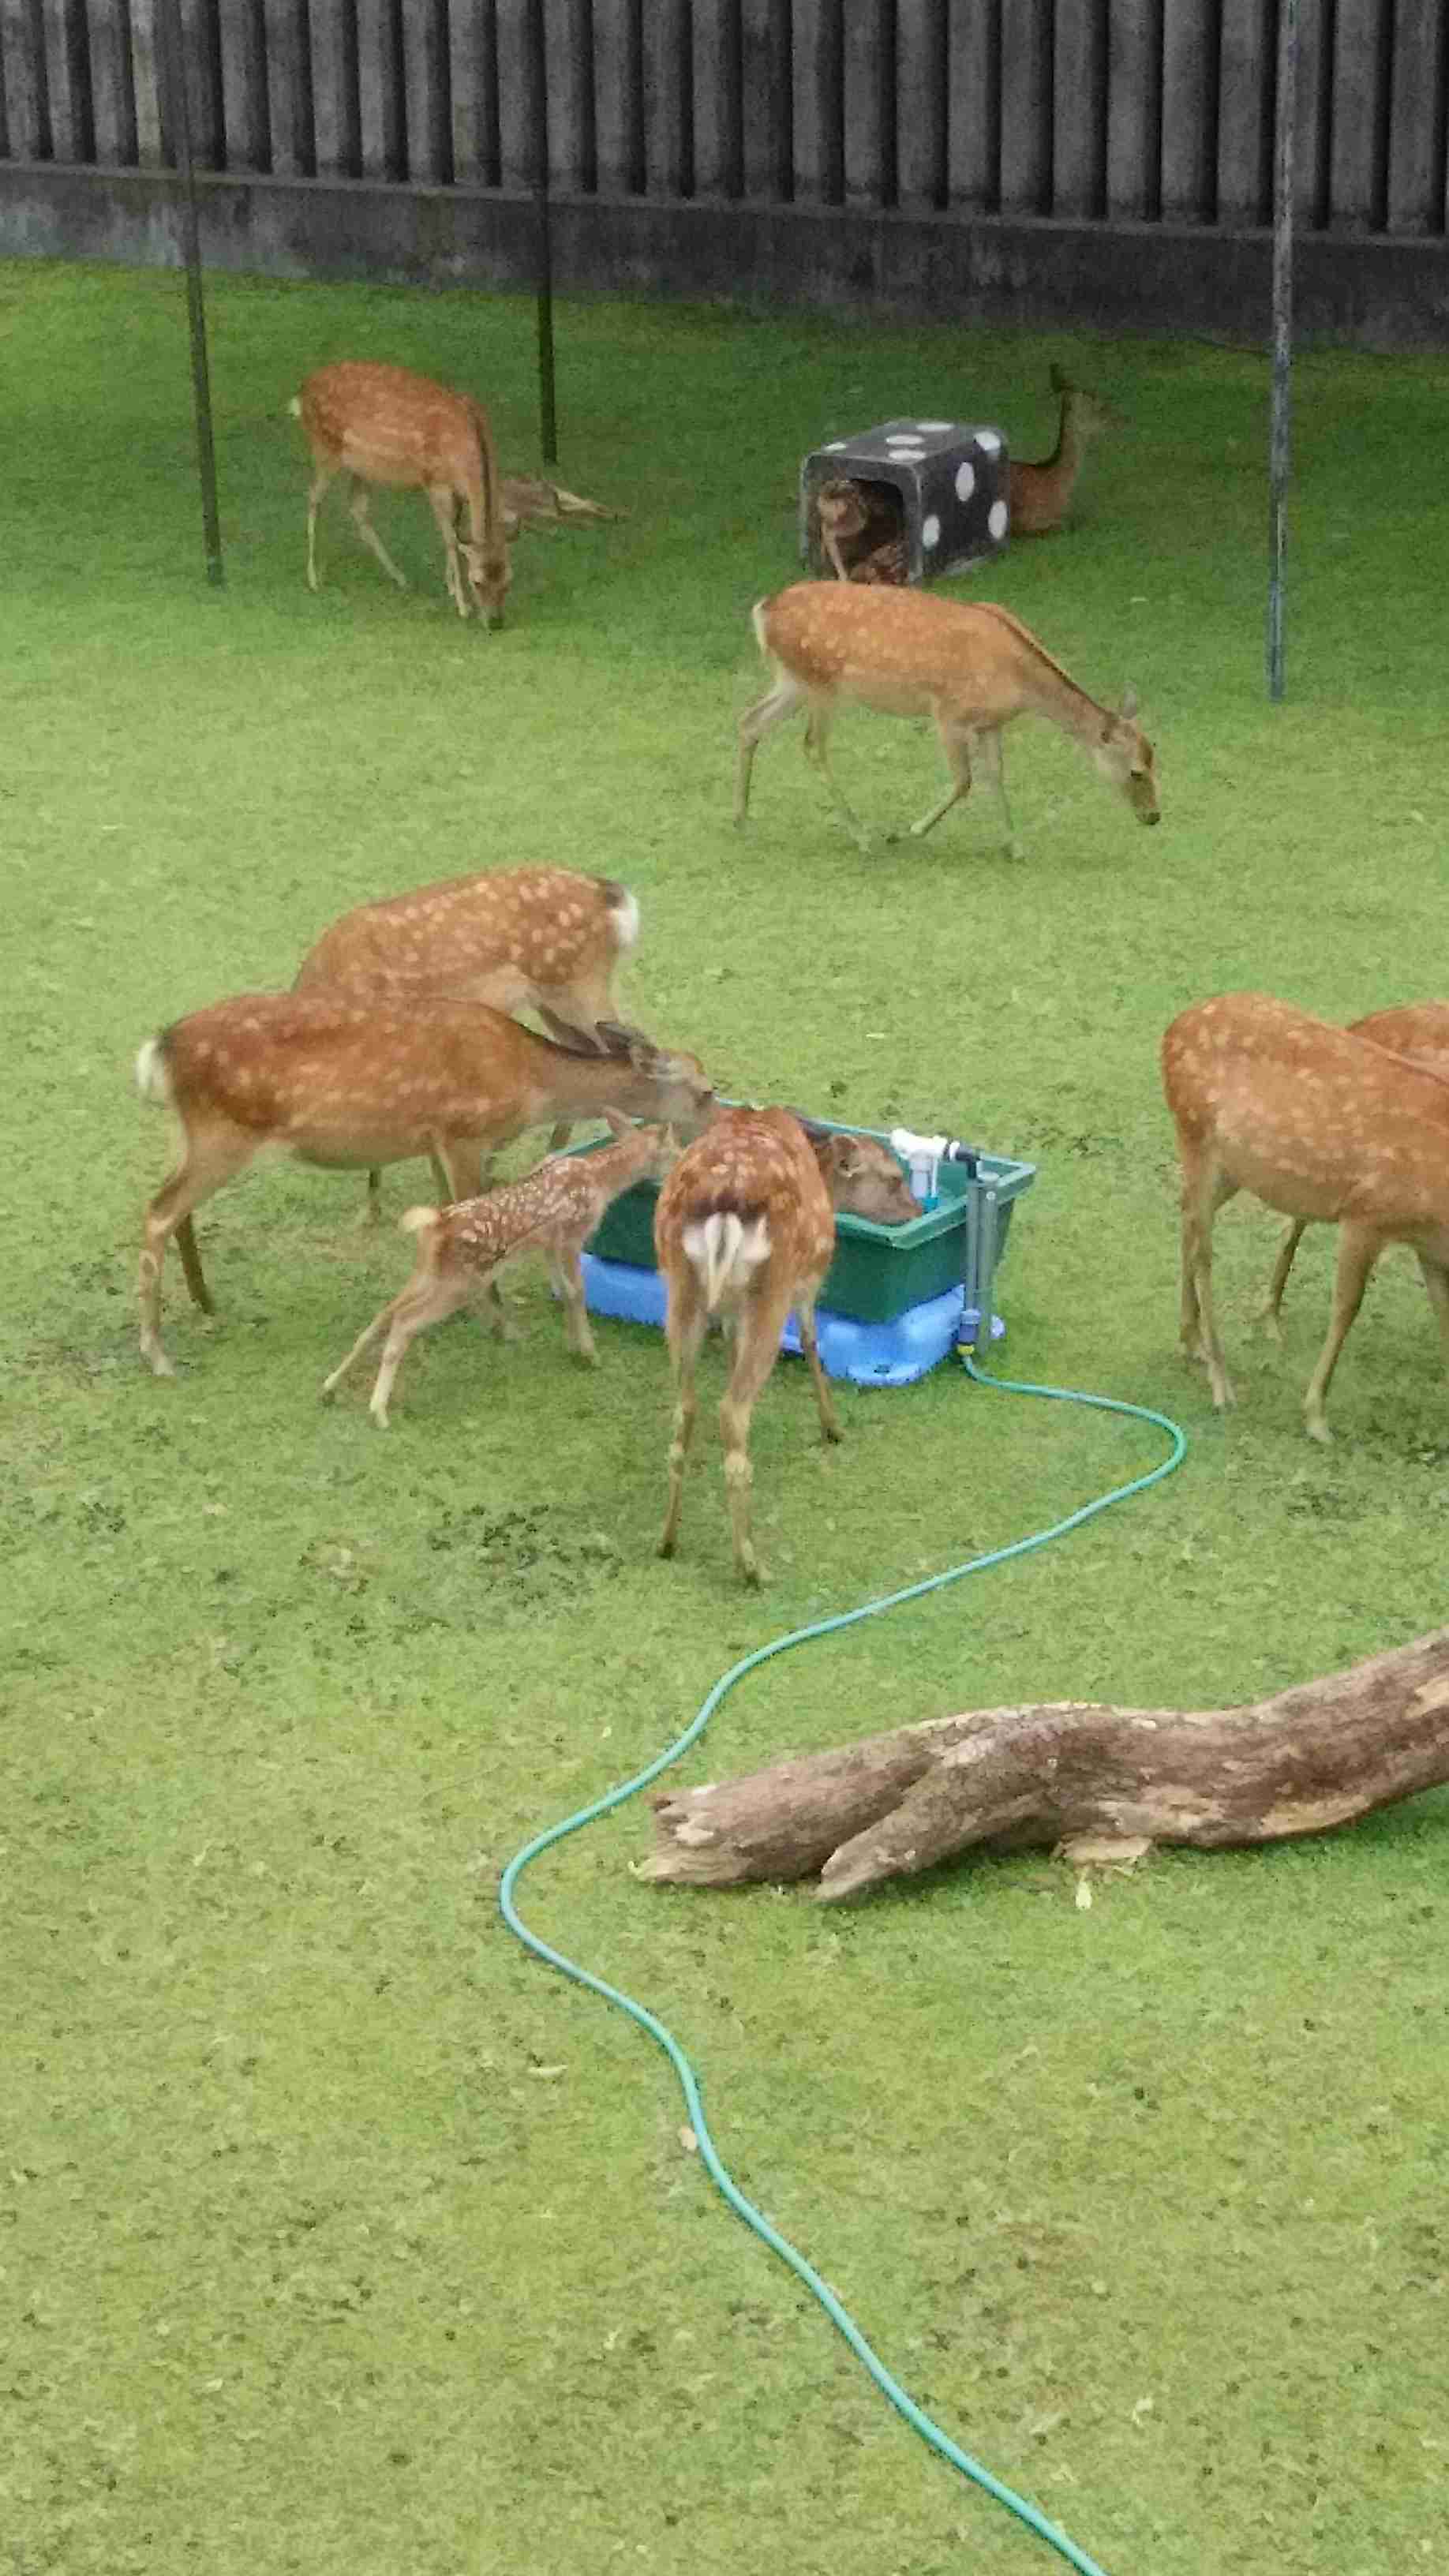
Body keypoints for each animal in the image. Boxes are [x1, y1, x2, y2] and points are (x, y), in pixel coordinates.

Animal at [135, 999, 714, 1377]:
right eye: (707, 1092)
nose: (715, 1135)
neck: (529, 1081)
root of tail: (159, 1050)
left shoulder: (437, 1140)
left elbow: (451, 1212)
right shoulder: (464, 1133)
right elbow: (471, 1213)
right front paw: (501, 1325)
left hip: (192, 1135)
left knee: (174, 1209)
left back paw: (205, 1301)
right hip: (223, 1135)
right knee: (157, 1212)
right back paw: (158, 1353)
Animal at [289, 361, 512, 624]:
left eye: (508, 581)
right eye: (477, 582)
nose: (495, 622)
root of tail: (303, 390)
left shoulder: (457, 492)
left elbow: (456, 534)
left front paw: (450, 587)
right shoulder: (435, 481)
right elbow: (450, 539)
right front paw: (462, 605)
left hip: (363, 468)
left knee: (357, 508)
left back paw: (400, 577)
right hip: (325, 446)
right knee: (314, 497)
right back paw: (313, 579)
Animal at [321, 1114, 679, 1428]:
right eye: (673, 1151)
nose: (681, 1168)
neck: (600, 1179)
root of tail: (436, 1225)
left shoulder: (549, 1245)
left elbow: (564, 1292)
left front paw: (575, 1348)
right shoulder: (571, 1236)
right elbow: (578, 1292)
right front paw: (590, 1355)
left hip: (429, 1273)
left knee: (384, 1315)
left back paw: (329, 1387)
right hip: (462, 1282)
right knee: (405, 1322)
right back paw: (378, 1411)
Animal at [654, 1109, 920, 1583]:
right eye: (893, 1177)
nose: (918, 1208)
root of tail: (723, 1209)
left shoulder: (731, 1311)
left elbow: (732, 1347)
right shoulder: (811, 1277)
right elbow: (814, 1340)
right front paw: (833, 1427)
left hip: (680, 1290)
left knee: (685, 1408)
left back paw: (667, 1541)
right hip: (772, 1291)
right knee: (732, 1409)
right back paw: (751, 1565)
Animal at [735, 582, 1159, 857]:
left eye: (1156, 759)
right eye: (1136, 771)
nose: (1154, 816)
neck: (1018, 680)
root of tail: (762, 611)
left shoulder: (991, 722)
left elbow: (995, 776)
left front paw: (1015, 846)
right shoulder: (948, 712)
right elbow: (963, 781)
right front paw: (908, 831)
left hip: (792, 680)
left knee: (749, 721)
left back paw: (741, 816)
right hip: (820, 682)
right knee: (812, 746)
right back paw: (862, 835)